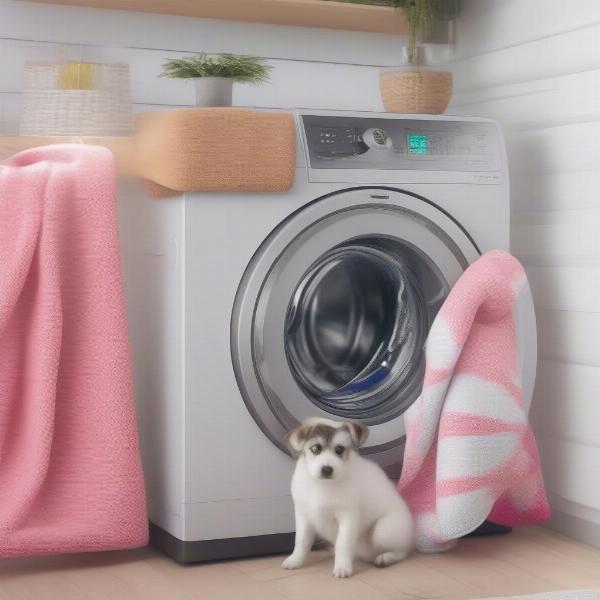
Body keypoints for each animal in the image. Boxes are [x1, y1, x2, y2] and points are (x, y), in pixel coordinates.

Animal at [282, 418, 412, 576]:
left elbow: (343, 543)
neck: (322, 485)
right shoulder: (303, 516)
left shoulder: (348, 516)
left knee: (403, 551)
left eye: (339, 449)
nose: (327, 469)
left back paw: (385, 558)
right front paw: (295, 560)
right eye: (316, 448)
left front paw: (342, 567)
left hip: (383, 530)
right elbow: (301, 541)